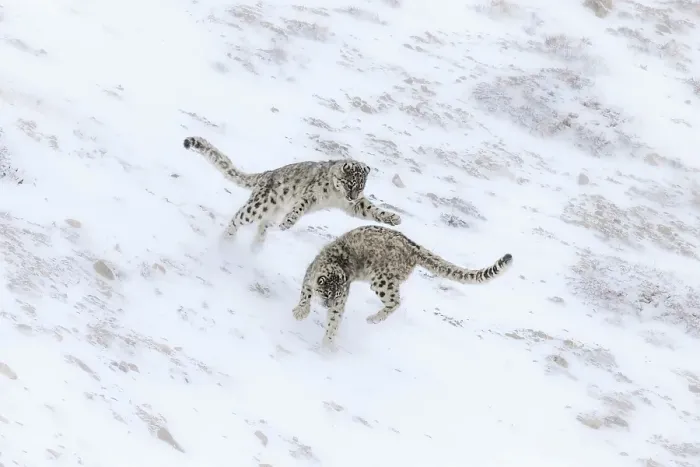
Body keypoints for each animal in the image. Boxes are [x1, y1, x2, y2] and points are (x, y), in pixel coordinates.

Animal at [182, 136, 401, 249]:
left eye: (360, 187)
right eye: (349, 183)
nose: (351, 196)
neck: (335, 197)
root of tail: (266, 174)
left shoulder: (355, 205)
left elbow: (372, 210)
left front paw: (393, 218)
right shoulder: (311, 195)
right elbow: (300, 208)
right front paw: (288, 222)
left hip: (271, 214)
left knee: (262, 227)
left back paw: (256, 248)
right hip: (258, 207)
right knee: (238, 218)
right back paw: (226, 240)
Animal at [292, 225, 514, 348]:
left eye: (336, 296)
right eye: (327, 293)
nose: (328, 305)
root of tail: (412, 246)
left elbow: (334, 321)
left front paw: (327, 343)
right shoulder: (310, 277)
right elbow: (305, 295)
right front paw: (301, 312)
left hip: (382, 281)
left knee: (396, 301)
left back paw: (373, 318)